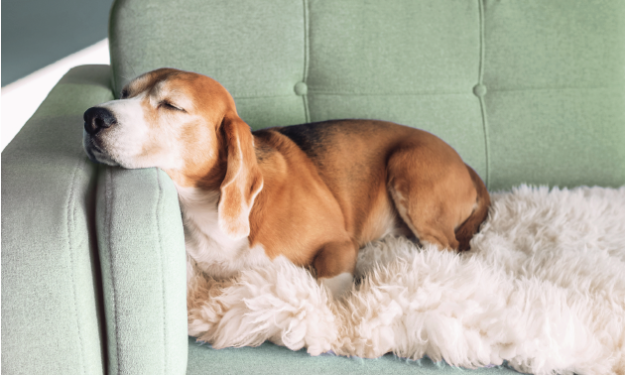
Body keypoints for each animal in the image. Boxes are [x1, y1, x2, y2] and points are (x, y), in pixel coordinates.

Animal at [83, 68, 490, 300]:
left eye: (171, 106)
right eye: (124, 93)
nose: (92, 117)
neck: (205, 205)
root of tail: (465, 164)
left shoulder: (338, 244)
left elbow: (331, 288)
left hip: (408, 167)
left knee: (448, 248)